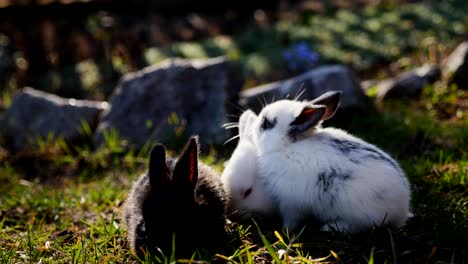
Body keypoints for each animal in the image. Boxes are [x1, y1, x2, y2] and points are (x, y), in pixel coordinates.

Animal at [250, 91, 412, 233]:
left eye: (265, 123)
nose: (254, 124)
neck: (284, 147)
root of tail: (402, 209)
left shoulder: (290, 203)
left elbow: (291, 220)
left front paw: (283, 230)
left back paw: (330, 227)